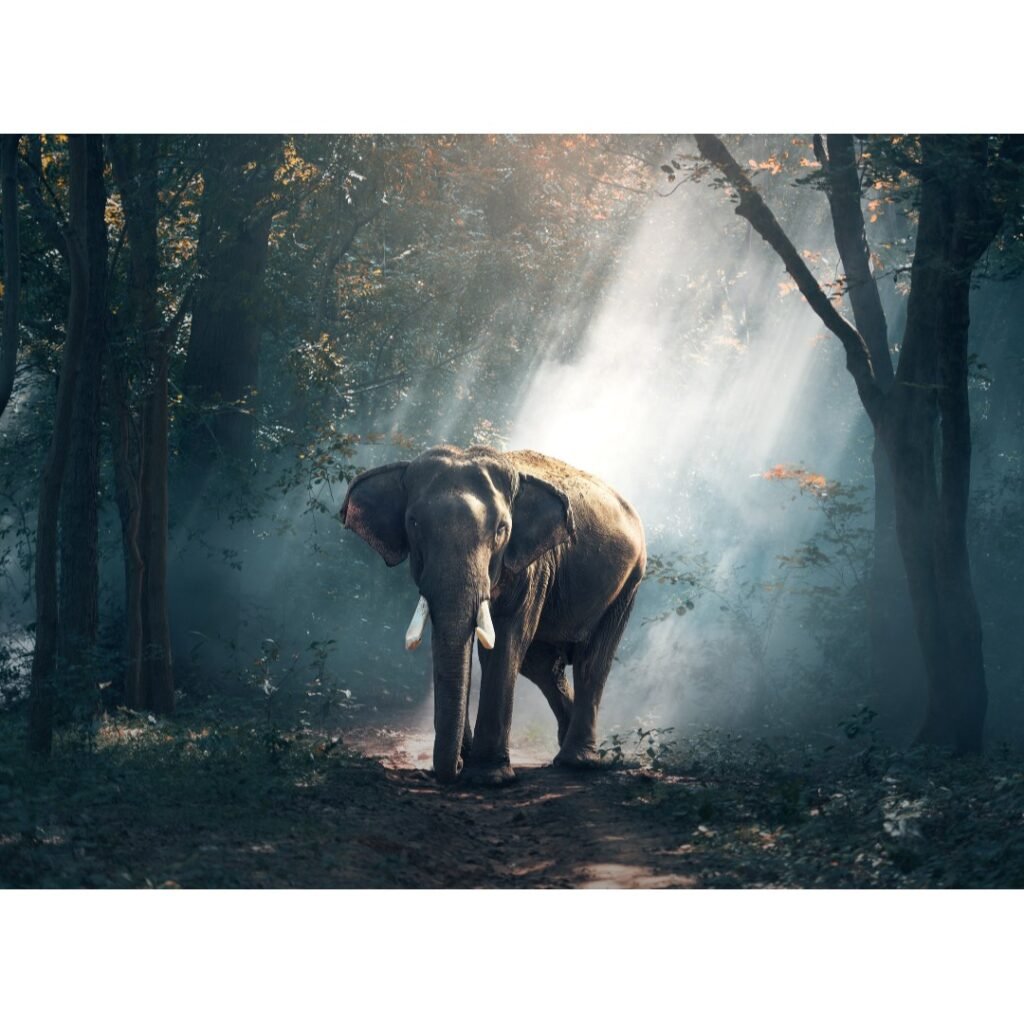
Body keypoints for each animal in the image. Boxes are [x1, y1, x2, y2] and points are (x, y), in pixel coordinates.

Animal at [340, 444, 646, 785]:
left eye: (501, 529)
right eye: (414, 523)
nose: (454, 768)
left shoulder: (532, 565)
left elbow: (506, 641)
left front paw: (488, 777)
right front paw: (468, 762)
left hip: (630, 581)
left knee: (591, 662)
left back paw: (578, 762)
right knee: (542, 665)